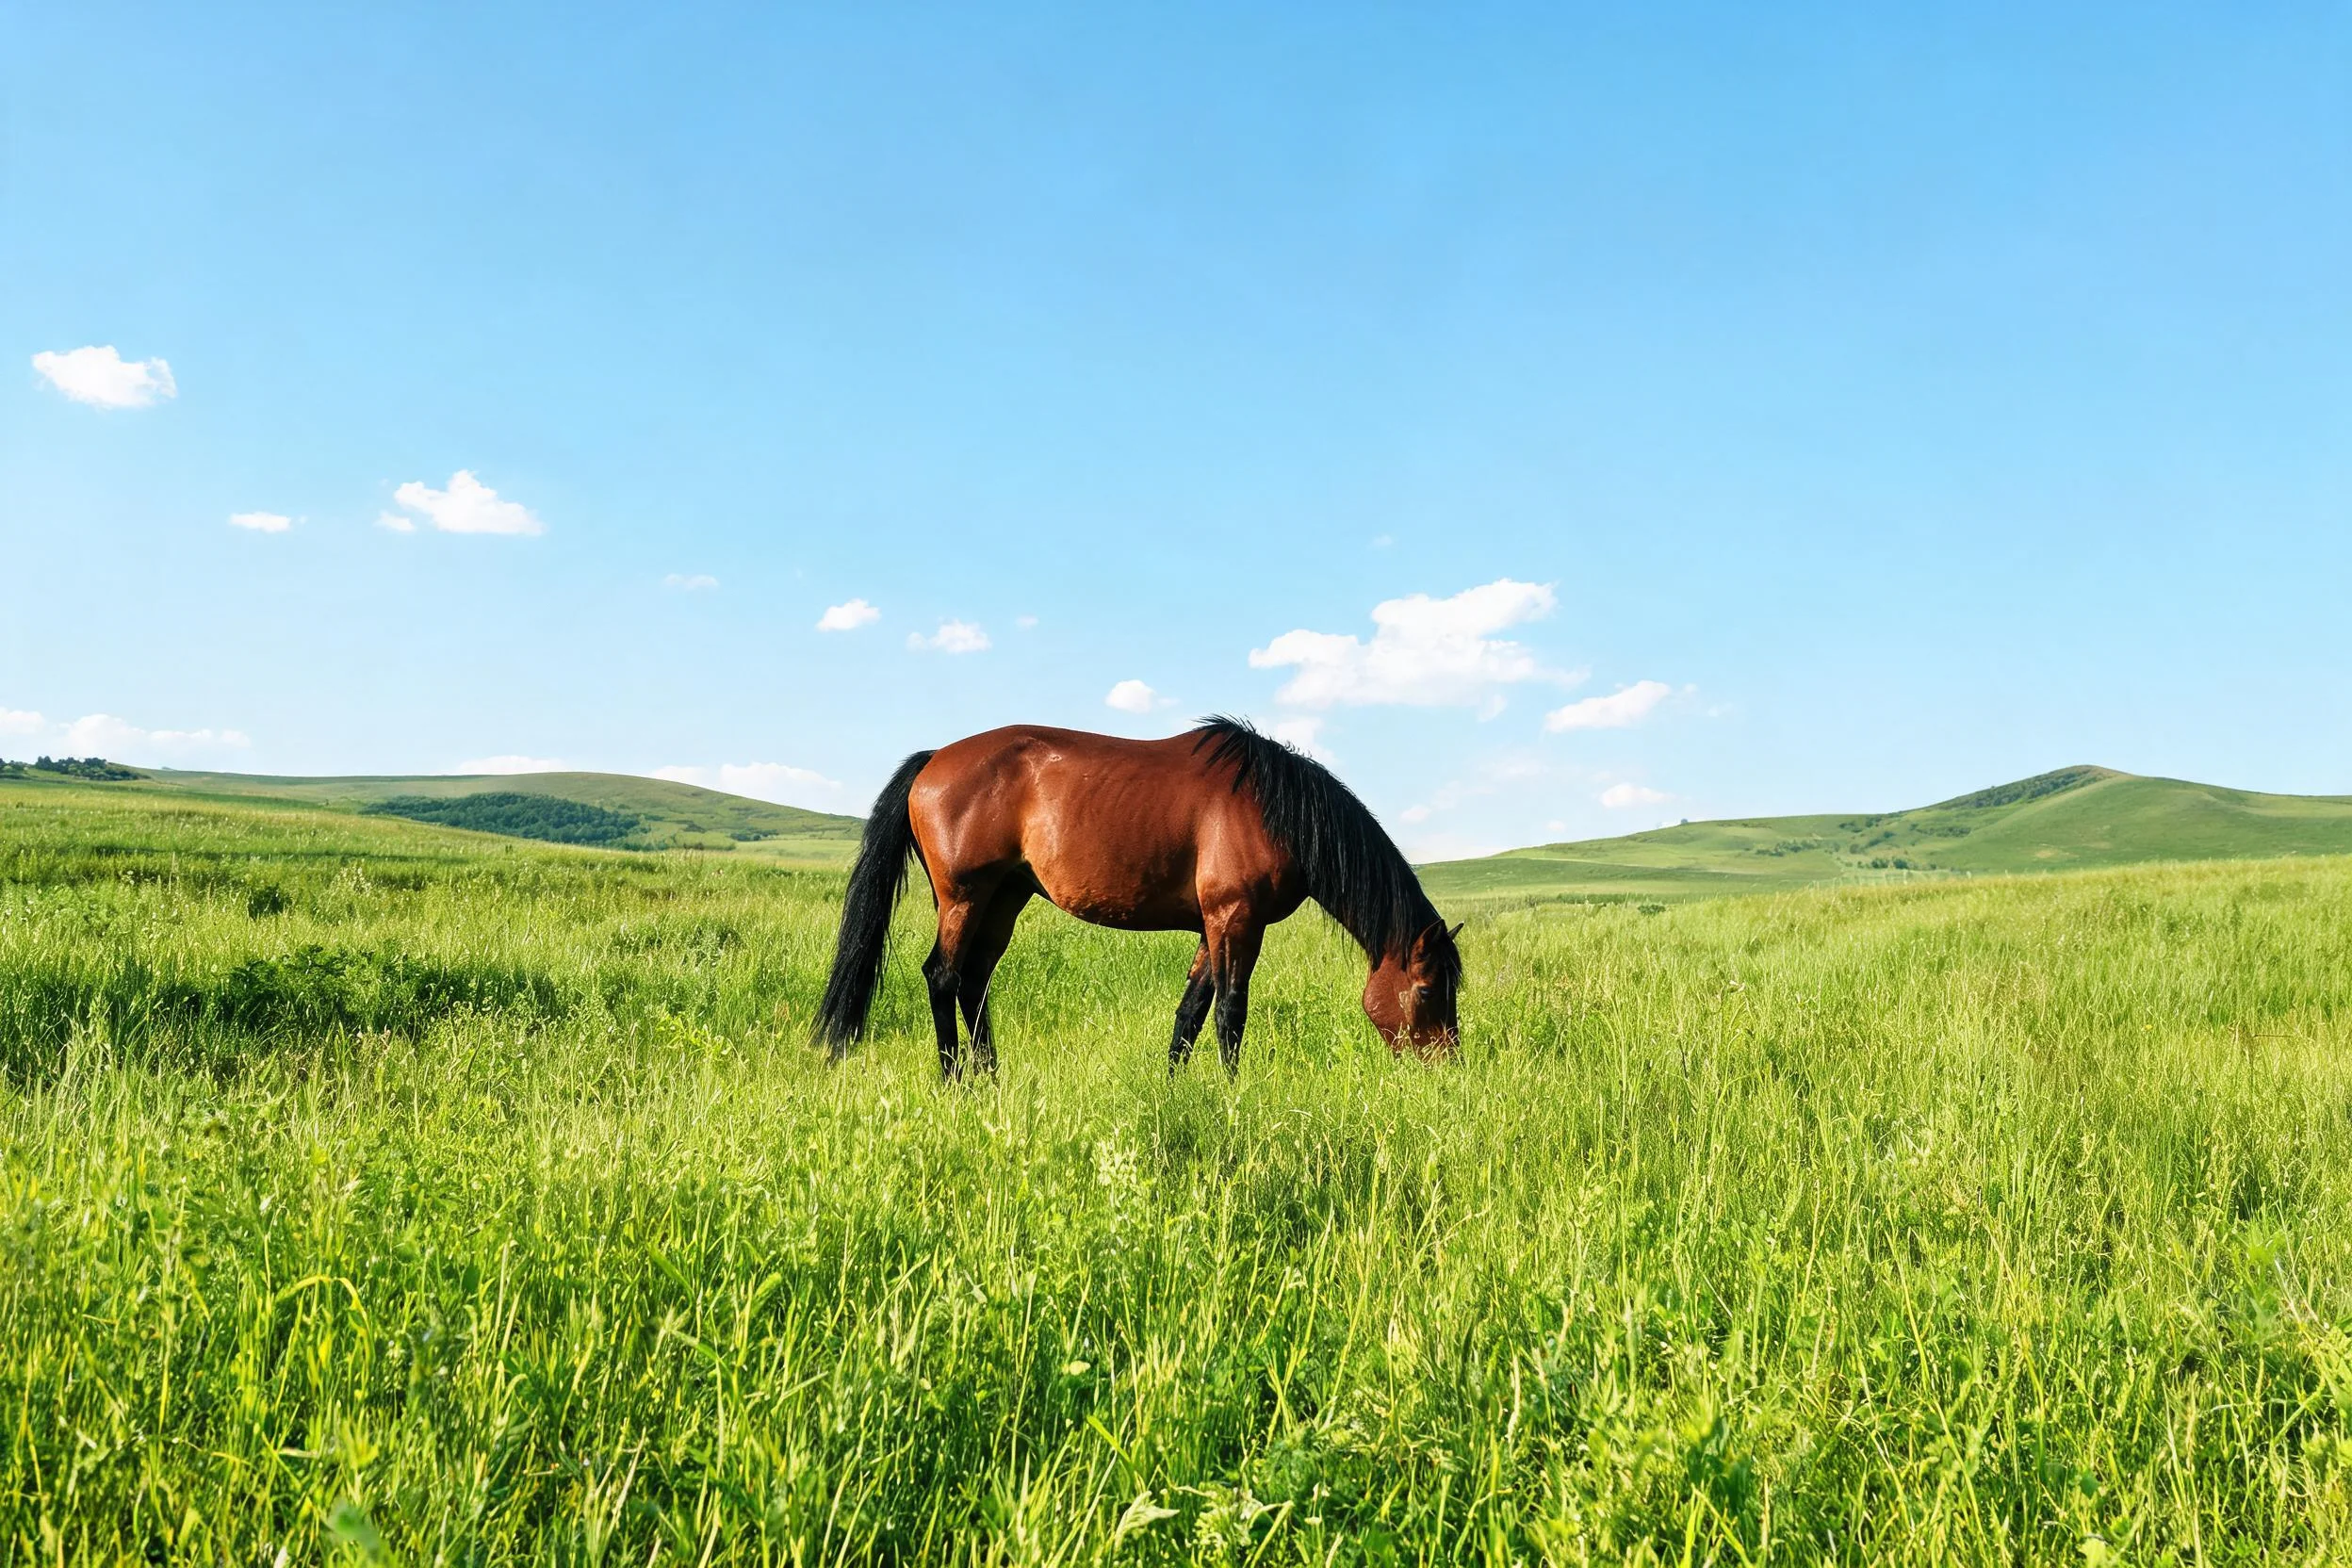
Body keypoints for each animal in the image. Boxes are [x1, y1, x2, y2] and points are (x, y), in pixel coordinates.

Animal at [813, 716, 1463, 1078]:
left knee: (973, 981)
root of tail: (931, 762)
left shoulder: (1214, 925)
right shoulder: (1237, 919)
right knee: (943, 976)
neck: (1278, 812)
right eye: (1428, 990)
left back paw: (990, 1080)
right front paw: (1235, 1096)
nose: (1449, 1068)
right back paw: (953, 1083)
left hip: (1003, 901)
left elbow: (1191, 1013)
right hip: (964, 898)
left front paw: (1174, 1092)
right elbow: (1230, 1015)